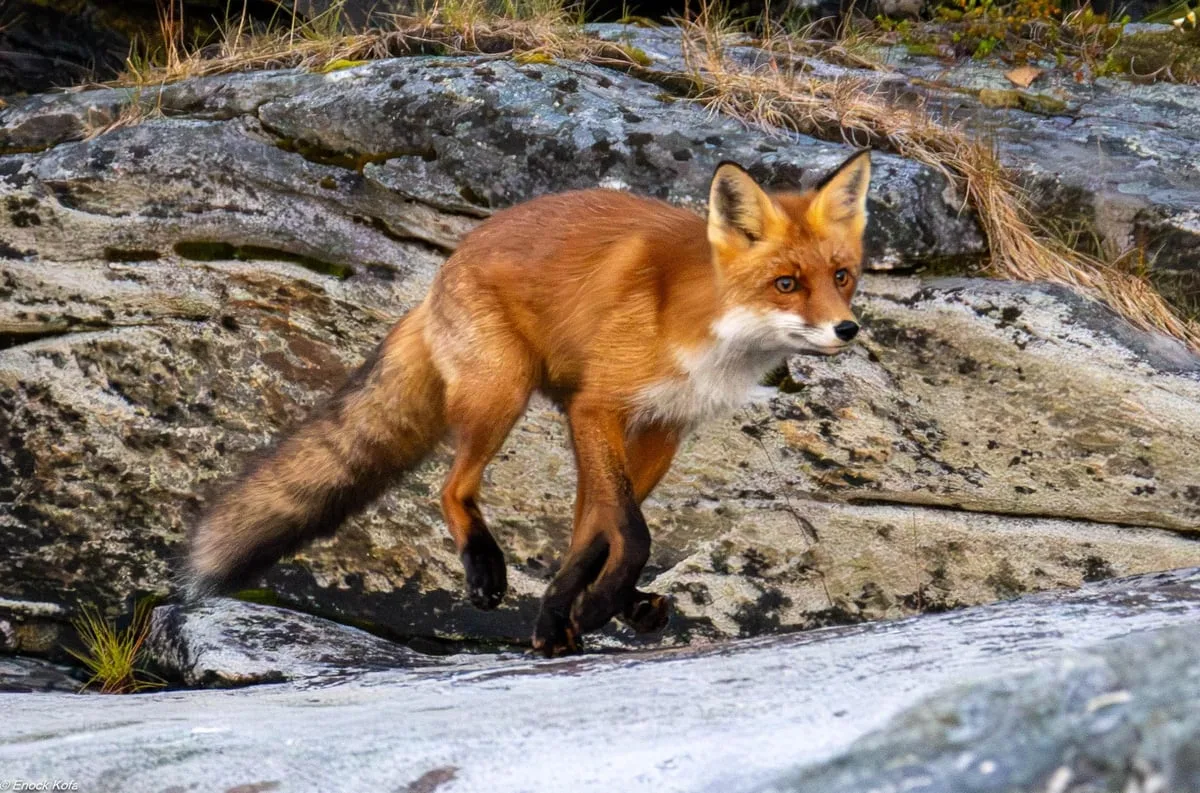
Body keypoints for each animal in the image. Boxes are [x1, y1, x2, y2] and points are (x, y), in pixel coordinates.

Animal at [186, 151, 872, 656]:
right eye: (786, 284)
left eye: (841, 276)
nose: (848, 330)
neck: (702, 328)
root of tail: (441, 271)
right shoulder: (598, 407)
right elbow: (632, 530)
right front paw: (593, 607)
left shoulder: (663, 428)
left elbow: (597, 536)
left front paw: (572, 614)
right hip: (503, 392)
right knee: (452, 487)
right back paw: (486, 568)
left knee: (577, 524)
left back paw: (579, 613)